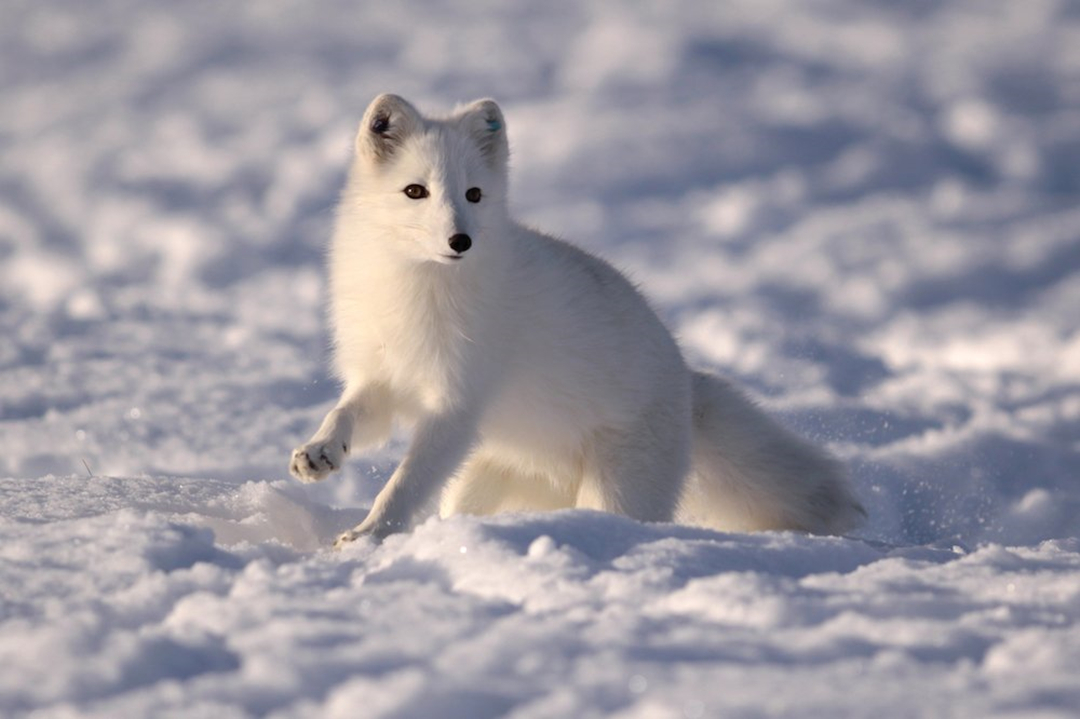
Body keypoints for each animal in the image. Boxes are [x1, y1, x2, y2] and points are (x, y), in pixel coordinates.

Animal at [291, 93, 864, 544]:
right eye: (416, 191)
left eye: (474, 194)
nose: (461, 240)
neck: (414, 287)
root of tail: (685, 384)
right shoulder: (382, 374)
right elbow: (347, 414)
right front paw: (318, 453)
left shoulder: (455, 405)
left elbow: (405, 483)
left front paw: (368, 534)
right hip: (484, 475)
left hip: (615, 487)